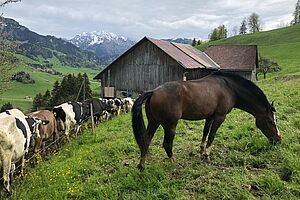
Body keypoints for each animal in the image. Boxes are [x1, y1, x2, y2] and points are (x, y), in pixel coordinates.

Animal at [132, 71, 282, 171]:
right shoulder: (220, 116)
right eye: (270, 121)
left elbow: (205, 132)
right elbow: (212, 135)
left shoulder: (210, 116)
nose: (278, 139)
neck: (229, 88)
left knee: (145, 141)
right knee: (167, 144)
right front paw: (206, 155)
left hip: (153, 123)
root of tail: (153, 92)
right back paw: (174, 163)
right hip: (170, 126)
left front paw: (201, 149)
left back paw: (141, 165)